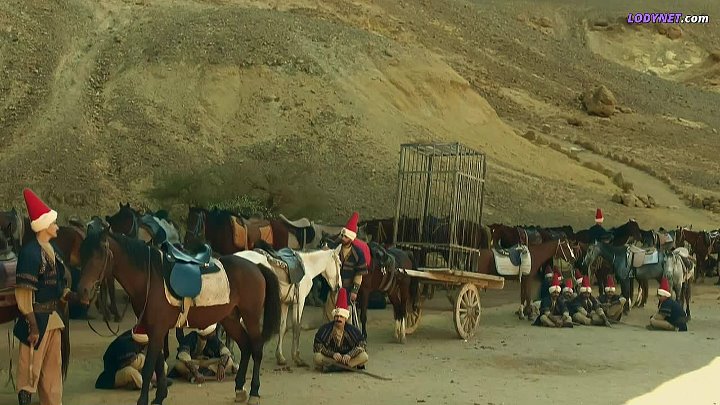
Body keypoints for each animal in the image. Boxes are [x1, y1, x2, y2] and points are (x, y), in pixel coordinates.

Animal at [76, 230, 282, 405]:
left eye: (98, 256)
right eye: (82, 255)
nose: (83, 292)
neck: (150, 279)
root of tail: (256, 267)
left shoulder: (157, 329)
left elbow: (149, 367)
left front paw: (144, 400)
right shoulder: (153, 330)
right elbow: (159, 365)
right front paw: (159, 397)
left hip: (251, 316)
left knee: (256, 348)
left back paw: (254, 392)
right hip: (230, 318)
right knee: (246, 346)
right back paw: (239, 389)